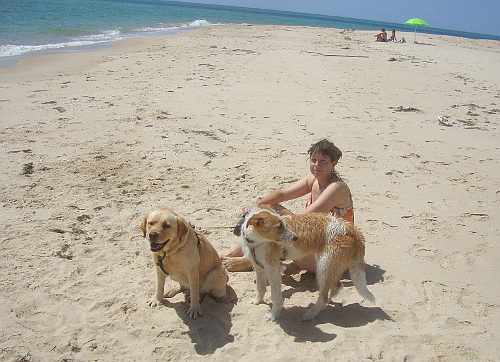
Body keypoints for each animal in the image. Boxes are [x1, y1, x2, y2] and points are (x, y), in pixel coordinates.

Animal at [240, 205, 374, 320]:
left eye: (284, 224)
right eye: (279, 226)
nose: (296, 238)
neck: (256, 242)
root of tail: (351, 229)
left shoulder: (273, 269)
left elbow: (275, 295)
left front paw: (274, 315)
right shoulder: (259, 267)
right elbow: (260, 287)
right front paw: (257, 301)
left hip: (324, 267)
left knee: (323, 297)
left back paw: (311, 313)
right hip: (332, 266)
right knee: (335, 287)